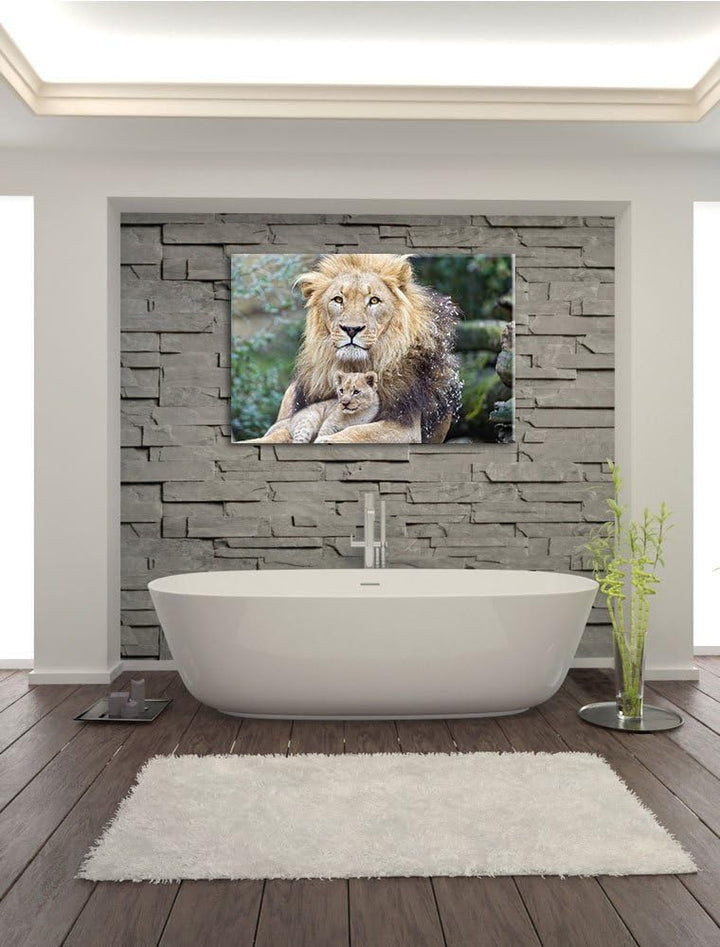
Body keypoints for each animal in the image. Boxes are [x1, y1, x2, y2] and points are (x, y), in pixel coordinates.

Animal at [244, 370, 380, 444]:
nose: (344, 403)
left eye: (356, 392)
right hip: (307, 423)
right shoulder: (329, 424)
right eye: (341, 390)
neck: (356, 414)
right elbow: (322, 435)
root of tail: (291, 419)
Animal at [275, 253, 462, 443]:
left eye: (374, 300)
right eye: (338, 300)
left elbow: (357, 431)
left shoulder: (405, 425)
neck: (355, 366)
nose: (351, 329)